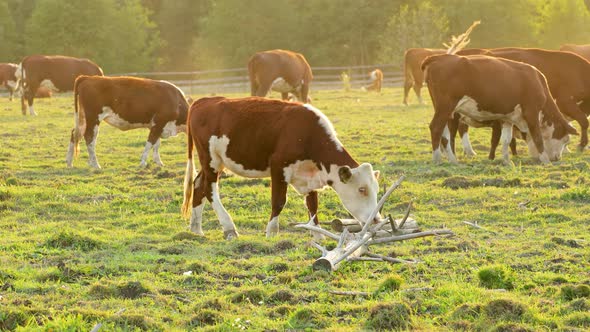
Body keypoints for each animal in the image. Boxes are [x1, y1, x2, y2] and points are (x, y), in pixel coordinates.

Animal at [182, 97, 384, 240]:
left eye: (376, 190)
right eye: (362, 189)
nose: (376, 220)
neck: (308, 135)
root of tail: (203, 101)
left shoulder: (310, 176)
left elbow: (313, 205)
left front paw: (317, 234)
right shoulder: (278, 167)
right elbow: (279, 201)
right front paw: (272, 231)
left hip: (214, 161)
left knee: (198, 185)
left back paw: (196, 228)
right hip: (210, 159)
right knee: (210, 190)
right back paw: (229, 227)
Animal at [424, 54, 580, 166]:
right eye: (565, 140)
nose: (557, 158)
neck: (537, 82)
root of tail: (439, 57)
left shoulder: (507, 118)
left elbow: (506, 139)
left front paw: (506, 160)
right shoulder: (531, 112)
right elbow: (538, 137)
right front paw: (545, 160)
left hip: (446, 111)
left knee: (444, 134)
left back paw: (452, 159)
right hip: (446, 107)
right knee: (436, 128)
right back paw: (438, 159)